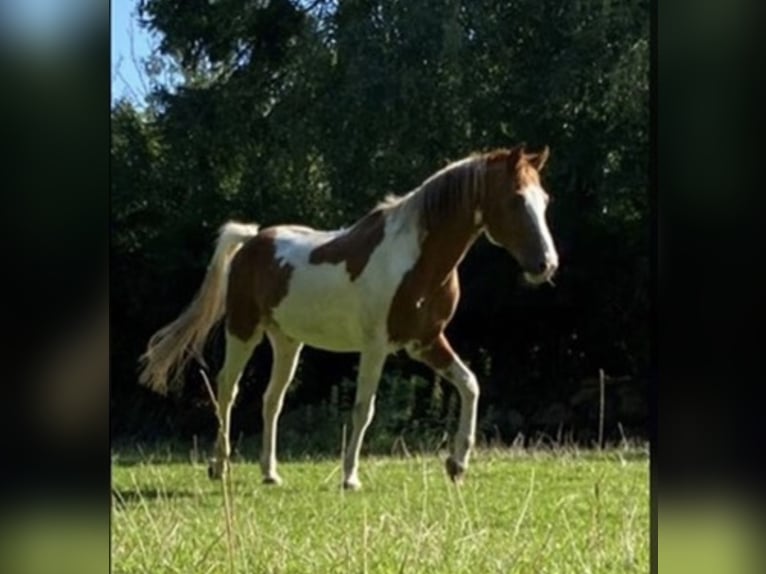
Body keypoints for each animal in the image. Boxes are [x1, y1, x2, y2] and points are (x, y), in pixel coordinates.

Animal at [138, 144, 560, 490]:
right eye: (515, 199)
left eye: (544, 200)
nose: (547, 264)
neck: (416, 260)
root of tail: (252, 241)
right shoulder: (376, 347)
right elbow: (363, 408)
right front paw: (350, 477)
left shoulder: (425, 342)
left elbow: (470, 384)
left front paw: (457, 465)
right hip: (243, 331)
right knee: (227, 389)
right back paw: (219, 467)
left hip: (287, 342)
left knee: (271, 399)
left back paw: (270, 473)